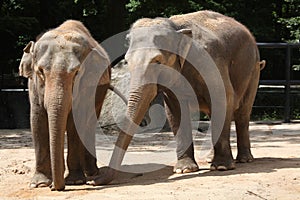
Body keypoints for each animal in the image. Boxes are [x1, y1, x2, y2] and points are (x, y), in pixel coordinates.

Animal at [18, 19, 113, 191]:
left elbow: (75, 122)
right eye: (40, 72)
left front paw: (75, 182)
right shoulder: (33, 86)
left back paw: (91, 174)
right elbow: (37, 120)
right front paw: (39, 184)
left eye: (77, 73)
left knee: (89, 124)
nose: (54, 188)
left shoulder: (87, 86)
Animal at [90, 9, 266, 184]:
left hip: (254, 69)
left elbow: (223, 99)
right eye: (127, 62)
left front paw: (222, 167)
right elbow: (176, 110)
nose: (93, 180)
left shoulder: (210, 61)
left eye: (158, 61)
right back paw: (210, 158)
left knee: (242, 112)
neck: (175, 27)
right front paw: (184, 169)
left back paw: (244, 159)